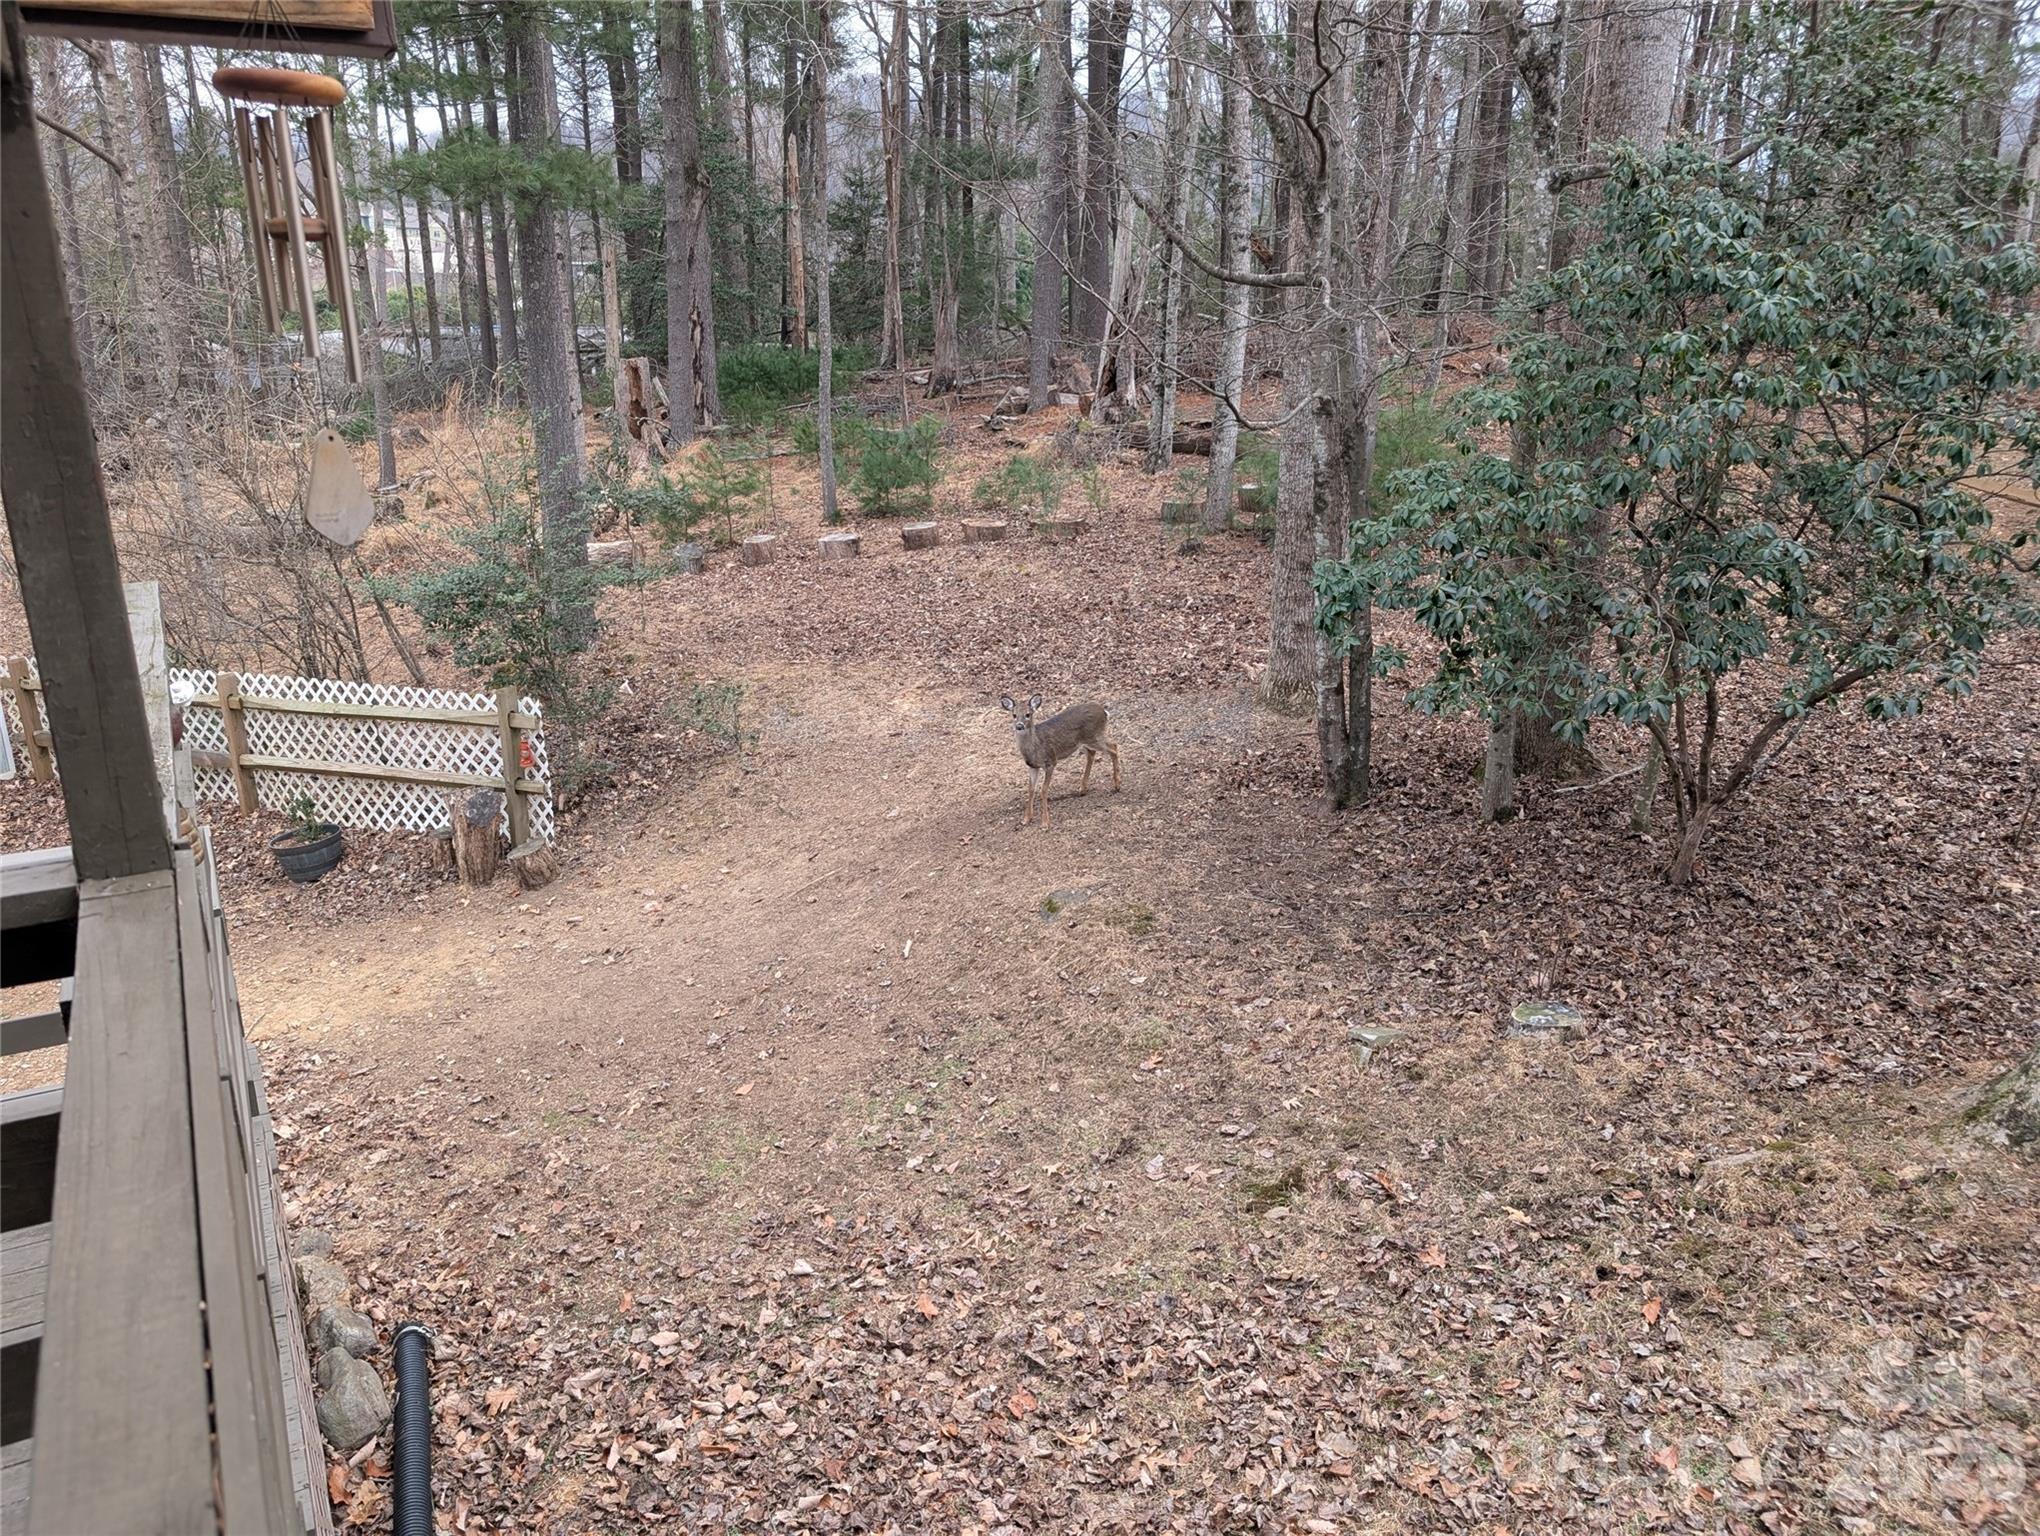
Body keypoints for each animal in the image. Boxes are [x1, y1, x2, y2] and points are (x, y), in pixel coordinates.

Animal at [1001, 693, 1121, 828]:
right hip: (1083, 742)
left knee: (1114, 747)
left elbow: (1043, 790)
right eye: (1014, 715)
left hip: (1094, 736)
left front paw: (1045, 822)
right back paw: (1083, 789)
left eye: (1028, 714)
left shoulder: (1051, 761)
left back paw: (1117, 785)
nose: (1019, 726)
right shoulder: (1032, 766)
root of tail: (1104, 711)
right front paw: (1026, 819)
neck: (1035, 747)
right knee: (1092, 753)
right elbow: (1031, 790)